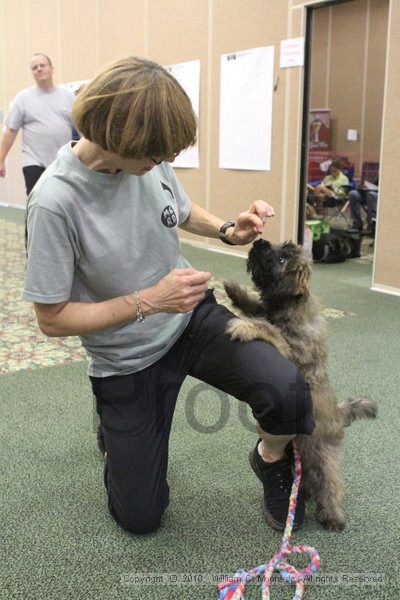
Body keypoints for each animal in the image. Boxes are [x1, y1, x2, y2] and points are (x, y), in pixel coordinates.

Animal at [223, 238, 376, 528]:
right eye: (276, 247)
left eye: (283, 259)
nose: (259, 241)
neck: (291, 308)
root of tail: (338, 414)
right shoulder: (269, 313)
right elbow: (258, 309)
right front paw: (236, 291)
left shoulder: (290, 350)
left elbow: (267, 327)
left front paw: (245, 326)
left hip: (323, 455)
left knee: (332, 484)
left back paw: (332, 516)